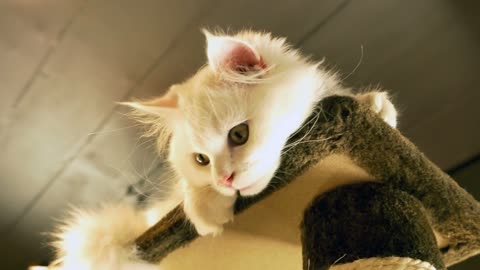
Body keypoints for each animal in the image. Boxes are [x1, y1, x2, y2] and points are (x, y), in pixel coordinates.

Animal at [51, 28, 398, 268]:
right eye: (201, 159)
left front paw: (376, 107)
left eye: (239, 135)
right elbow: (187, 195)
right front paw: (207, 210)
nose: (225, 180)